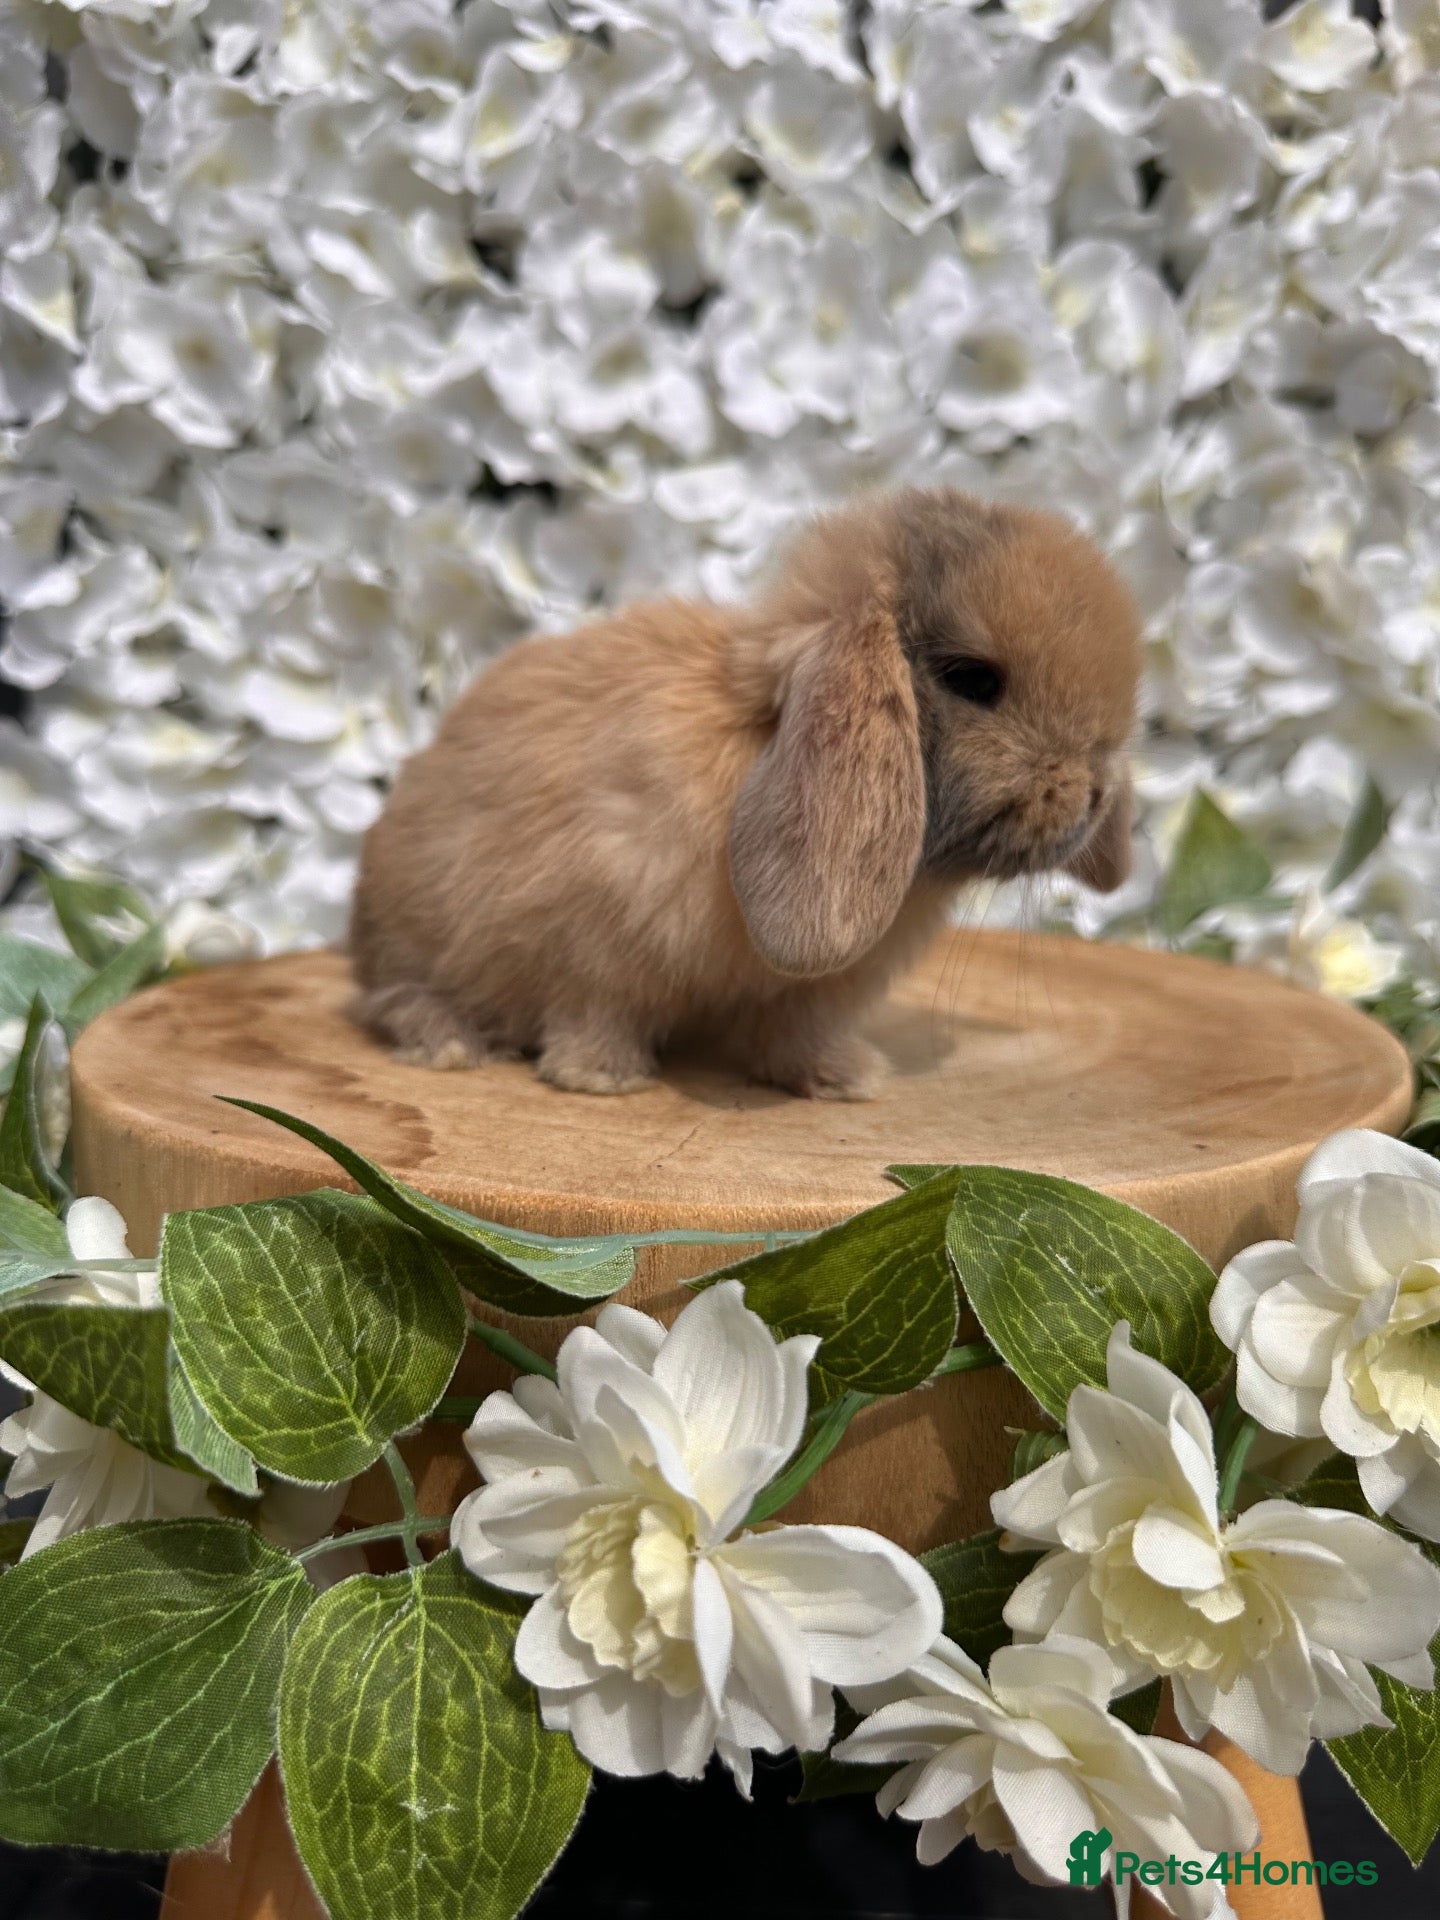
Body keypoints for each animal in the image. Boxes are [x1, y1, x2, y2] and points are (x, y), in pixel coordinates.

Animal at [349, 486, 1141, 1099]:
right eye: (973, 679)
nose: (1096, 792)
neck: (760, 742)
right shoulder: (597, 937)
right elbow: (594, 1013)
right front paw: (601, 1079)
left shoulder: (813, 993)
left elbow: (796, 1035)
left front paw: (846, 1079)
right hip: (413, 945)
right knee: (389, 1001)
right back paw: (450, 1043)